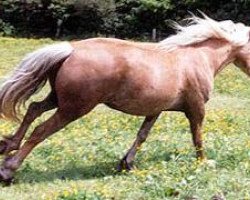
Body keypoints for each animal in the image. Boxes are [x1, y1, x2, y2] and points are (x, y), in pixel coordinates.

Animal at [0, 13, 250, 184]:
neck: (199, 57)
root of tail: (70, 49)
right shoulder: (195, 108)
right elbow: (197, 137)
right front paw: (204, 162)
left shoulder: (156, 109)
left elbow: (142, 135)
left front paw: (126, 163)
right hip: (74, 108)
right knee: (40, 130)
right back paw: (8, 169)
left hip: (59, 99)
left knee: (33, 109)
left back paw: (8, 146)